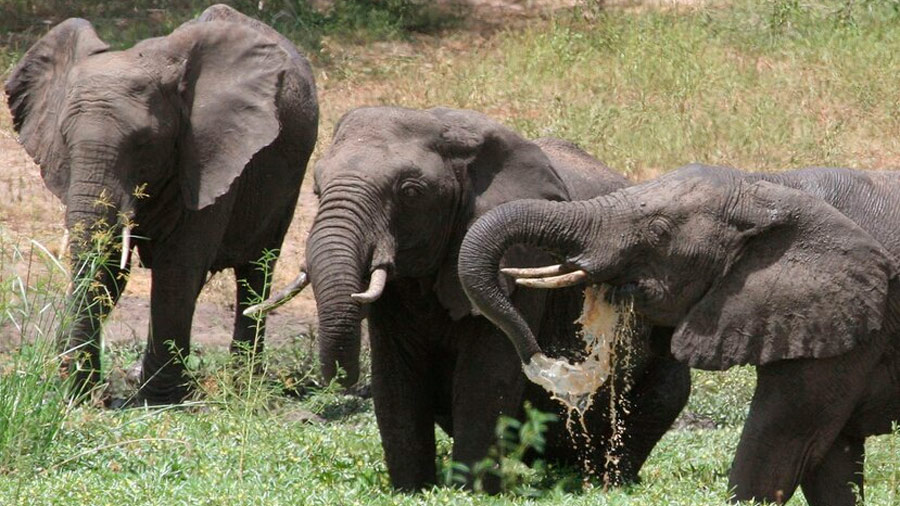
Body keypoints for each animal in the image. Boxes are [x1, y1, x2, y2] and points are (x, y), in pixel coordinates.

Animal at [2, 1, 320, 402]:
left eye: (144, 143)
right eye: (63, 138)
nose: (89, 396)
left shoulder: (208, 153)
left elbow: (178, 266)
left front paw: (160, 398)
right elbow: (109, 267)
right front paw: (74, 386)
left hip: (288, 176)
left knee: (256, 271)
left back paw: (242, 382)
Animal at [253, 105, 688, 490]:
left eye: (410, 192)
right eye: (316, 188)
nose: (550, 365)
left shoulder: (522, 262)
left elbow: (485, 378)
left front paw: (468, 492)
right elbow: (395, 378)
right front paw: (411, 489)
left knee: (663, 397)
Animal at [460, 164, 900, 504]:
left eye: (657, 231)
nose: (542, 362)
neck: (769, 186)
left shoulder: (853, 317)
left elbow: (782, 442)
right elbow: (829, 461)